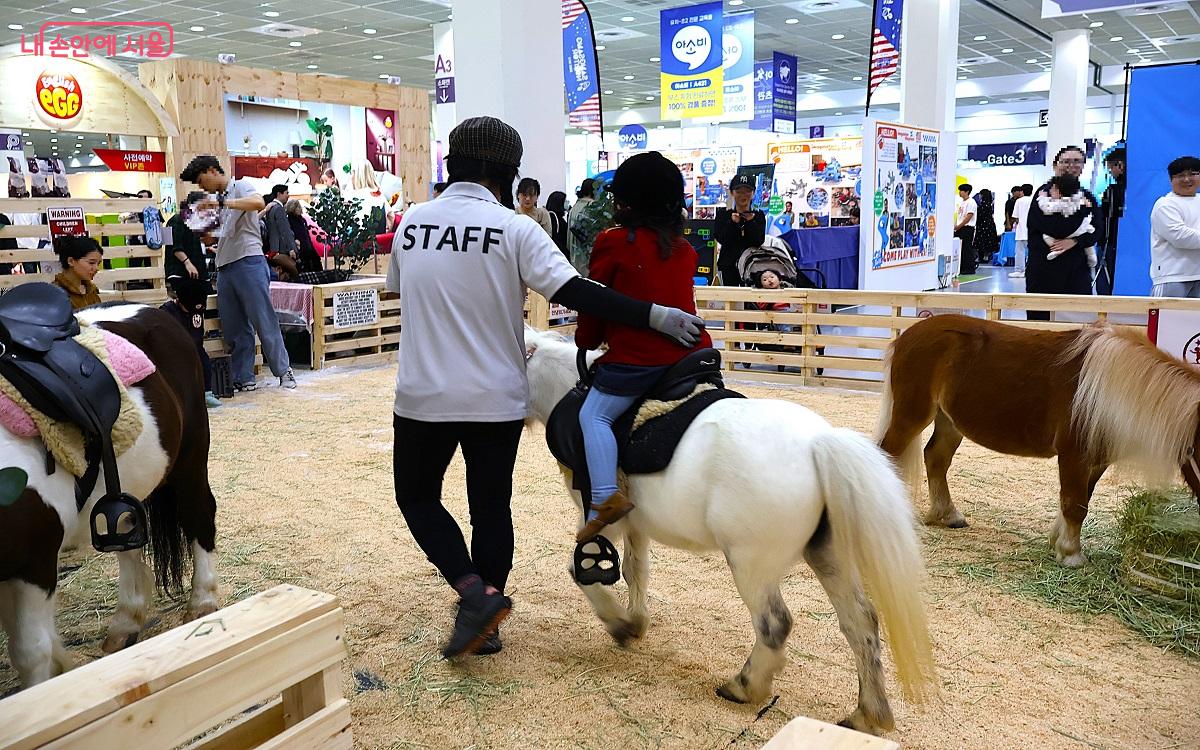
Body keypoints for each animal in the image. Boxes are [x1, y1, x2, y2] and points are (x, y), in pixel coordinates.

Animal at [0, 302, 219, 686]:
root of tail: (156, 312)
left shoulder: (35, 561)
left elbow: (30, 652)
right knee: (128, 538)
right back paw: (126, 624)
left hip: (190, 462)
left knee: (199, 516)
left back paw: (202, 602)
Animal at [525, 328, 936, 739]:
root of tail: (817, 443)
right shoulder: (635, 524)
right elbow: (635, 570)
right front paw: (636, 622)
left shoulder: (600, 520)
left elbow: (580, 570)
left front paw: (620, 625)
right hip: (828, 556)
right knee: (860, 621)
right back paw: (868, 713)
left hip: (751, 565)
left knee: (775, 624)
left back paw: (745, 686)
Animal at [873, 312, 1200, 564]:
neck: (1107, 391)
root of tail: (906, 336)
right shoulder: (1074, 455)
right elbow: (1075, 504)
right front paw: (1071, 555)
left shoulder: (1096, 461)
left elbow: (1079, 501)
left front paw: (1058, 542)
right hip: (912, 415)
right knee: (888, 455)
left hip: (949, 422)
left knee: (936, 458)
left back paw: (949, 515)